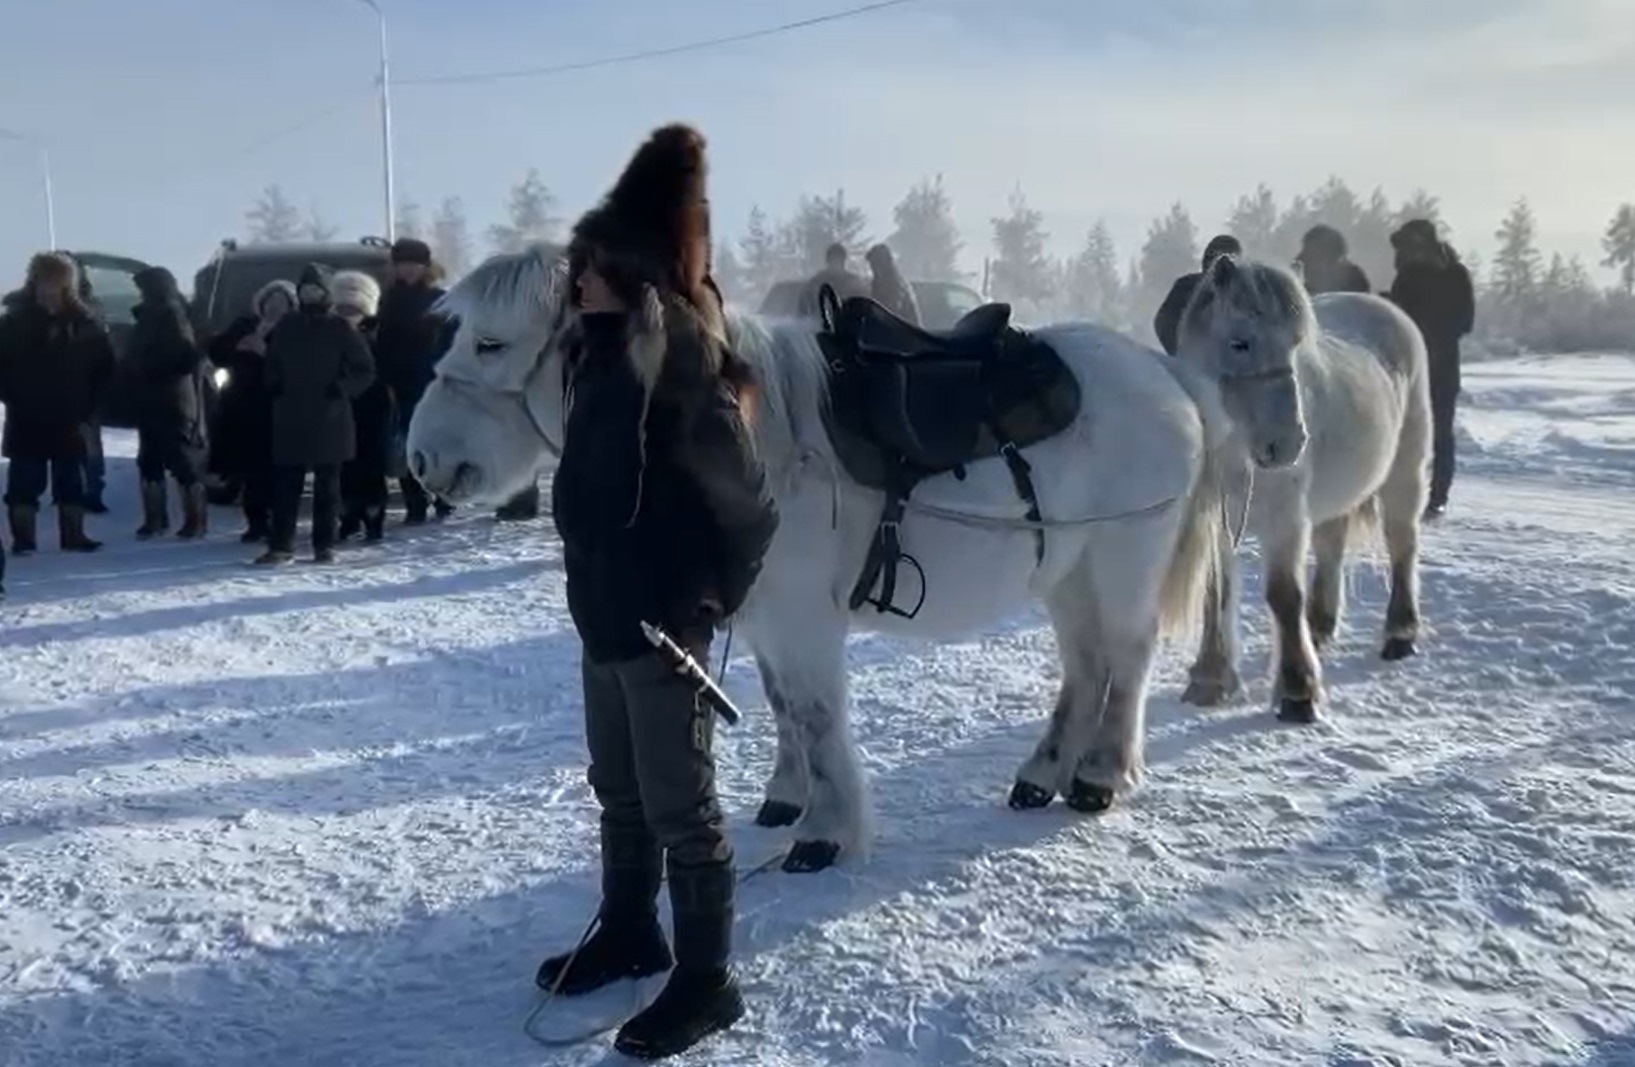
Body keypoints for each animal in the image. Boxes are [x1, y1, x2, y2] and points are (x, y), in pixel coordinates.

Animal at [1177, 253, 1432, 718]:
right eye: (1240, 343)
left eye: (1295, 346)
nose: (1289, 443)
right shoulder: (1216, 519)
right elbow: (1215, 592)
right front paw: (1210, 678)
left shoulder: (1285, 520)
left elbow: (1283, 596)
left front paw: (1298, 691)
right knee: (1332, 546)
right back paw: (1319, 626)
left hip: (1406, 470)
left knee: (1402, 543)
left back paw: (1400, 634)